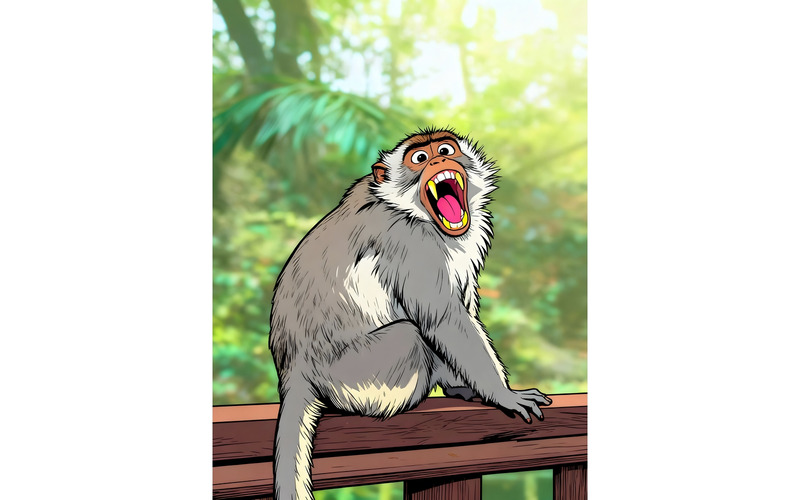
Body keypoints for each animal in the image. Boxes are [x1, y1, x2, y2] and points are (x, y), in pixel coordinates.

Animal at [268, 127, 551, 500]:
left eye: (445, 149)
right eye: (419, 158)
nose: (439, 161)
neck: (416, 214)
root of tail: (293, 368)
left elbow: (461, 309)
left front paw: (465, 385)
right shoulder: (411, 244)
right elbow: (442, 318)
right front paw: (502, 394)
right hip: (353, 371)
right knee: (409, 335)